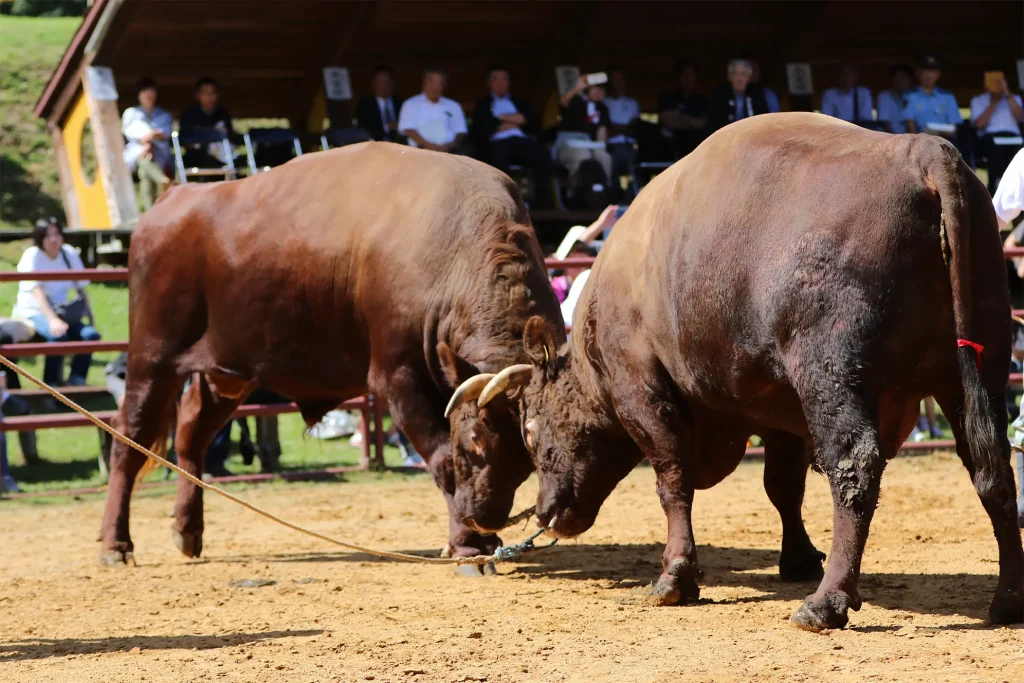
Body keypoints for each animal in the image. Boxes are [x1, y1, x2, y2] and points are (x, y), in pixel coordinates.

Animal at [97, 140, 561, 573]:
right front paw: (467, 548)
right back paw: (115, 544)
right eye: (476, 438)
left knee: (191, 432)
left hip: (227, 372)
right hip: (152, 357)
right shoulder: (398, 378)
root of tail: (175, 199)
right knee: (129, 439)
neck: (453, 256)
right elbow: (443, 459)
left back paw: (187, 529)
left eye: (529, 452)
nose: (484, 519)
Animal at [479, 113, 1024, 630]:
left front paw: (675, 576)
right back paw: (1007, 598)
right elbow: (782, 487)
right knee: (993, 469)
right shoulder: (776, 410)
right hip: (976, 374)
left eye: (531, 430)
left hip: (832, 379)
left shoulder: (643, 392)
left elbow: (672, 481)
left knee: (854, 470)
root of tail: (921, 151)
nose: (545, 513)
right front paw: (798, 558)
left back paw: (826, 603)